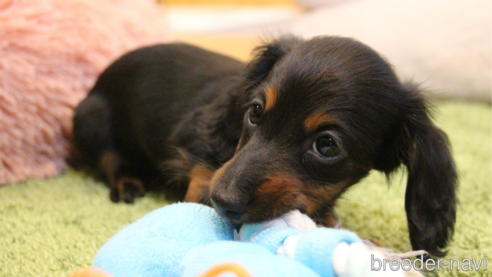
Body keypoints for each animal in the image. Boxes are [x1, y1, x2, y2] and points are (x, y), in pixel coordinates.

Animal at [69, 35, 458, 256]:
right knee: (108, 161)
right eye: (255, 111)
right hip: (92, 120)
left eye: (327, 146)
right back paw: (127, 183)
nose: (222, 200)